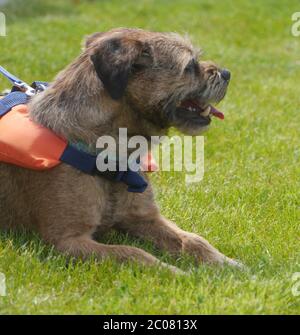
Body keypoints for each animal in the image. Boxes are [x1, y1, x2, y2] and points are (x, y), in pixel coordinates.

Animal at [0, 28, 241, 272]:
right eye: (190, 65)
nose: (227, 73)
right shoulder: (66, 241)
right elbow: (132, 253)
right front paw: (173, 272)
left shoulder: (146, 218)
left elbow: (193, 240)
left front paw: (227, 263)